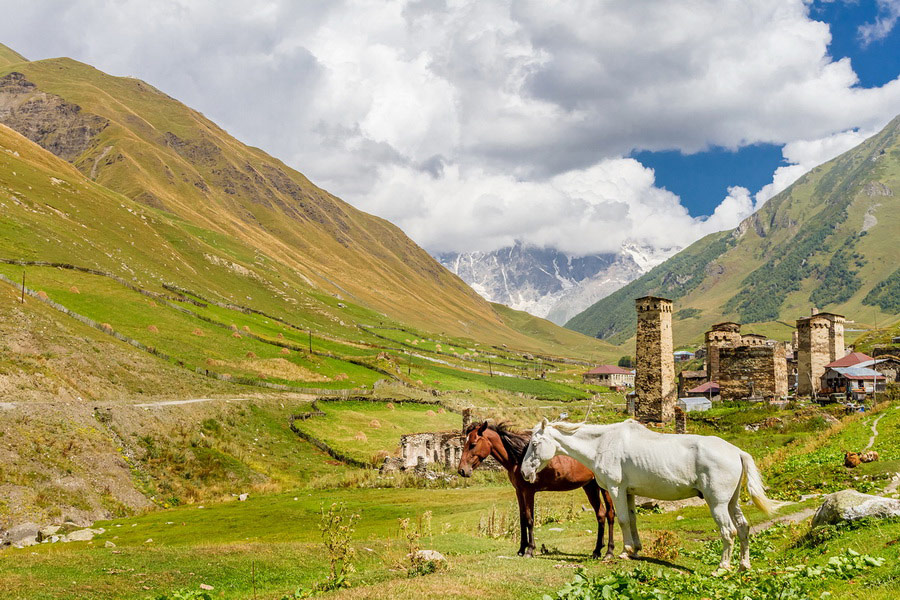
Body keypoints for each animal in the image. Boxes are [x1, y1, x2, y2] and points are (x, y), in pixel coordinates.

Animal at [460, 422, 616, 556]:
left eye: (473, 444)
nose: (462, 470)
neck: (518, 458)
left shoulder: (529, 491)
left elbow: (530, 519)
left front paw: (530, 550)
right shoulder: (519, 491)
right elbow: (522, 518)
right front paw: (521, 549)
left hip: (604, 488)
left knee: (610, 514)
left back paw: (609, 551)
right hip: (590, 486)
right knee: (600, 514)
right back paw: (597, 551)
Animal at [520, 420, 772, 568]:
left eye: (535, 443)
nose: (524, 472)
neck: (603, 444)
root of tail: (736, 451)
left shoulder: (616, 489)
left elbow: (622, 519)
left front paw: (623, 552)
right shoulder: (629, 493)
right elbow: (632, 520)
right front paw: (636, 550)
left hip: (717, 504)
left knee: (728, 531)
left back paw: (722, 568)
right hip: (732, 502)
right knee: (743, 528)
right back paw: (743, 565)